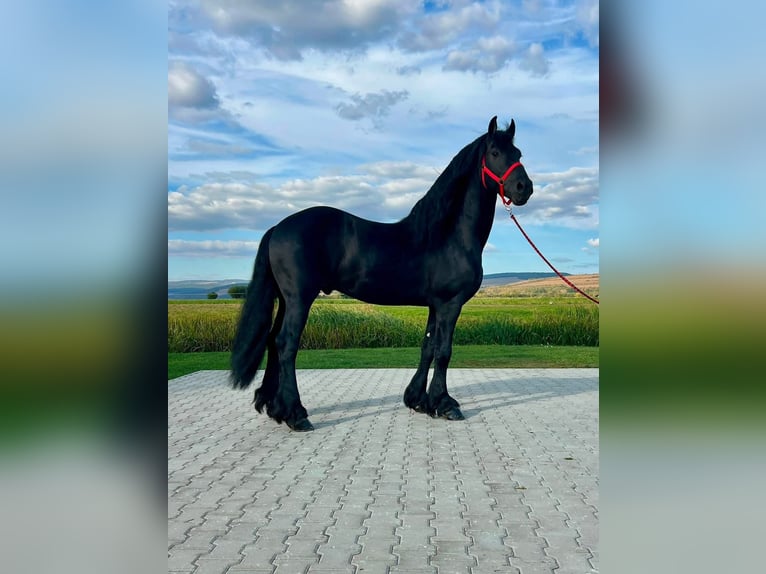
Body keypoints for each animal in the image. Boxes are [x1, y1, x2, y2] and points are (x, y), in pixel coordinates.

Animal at [230, 116, 533, 431]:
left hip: (285, 299)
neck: (448, 235)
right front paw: (445, 404)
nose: (524, 188)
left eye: (518, 154)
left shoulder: (434, 305)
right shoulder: (450, 304)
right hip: (300, 299)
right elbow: (444, 351)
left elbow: (427, 347)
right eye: (495, 153)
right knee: (286, 344)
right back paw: (296, 414)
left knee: (272, 341)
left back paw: (274, 407)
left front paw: (419, 400)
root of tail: (278, 228)